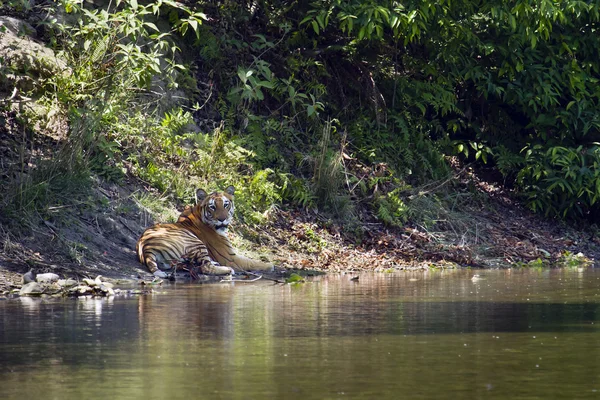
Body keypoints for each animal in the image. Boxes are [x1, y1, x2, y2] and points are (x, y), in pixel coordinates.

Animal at [135, 185, 274, 276]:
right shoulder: (230, 257)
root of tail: (145, 248)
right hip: (195, 242)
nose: (222, 219)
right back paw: (227, 270)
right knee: (205, 268)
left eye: (226, 204)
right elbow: (252, 261)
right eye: (212, 207)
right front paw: (270, 265)